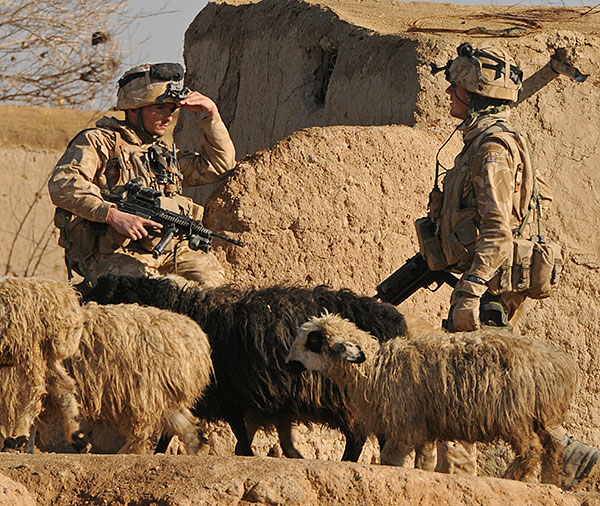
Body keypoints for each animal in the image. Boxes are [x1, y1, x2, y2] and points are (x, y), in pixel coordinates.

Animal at [288, 312, 580, 486]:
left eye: (313, 340)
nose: (289, 363)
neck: (376, 369)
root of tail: (557, 362)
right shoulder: (424, 427)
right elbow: (424, 462)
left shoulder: (406, 426)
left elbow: (391, 459)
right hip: (544, 413)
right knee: (554, 446)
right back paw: (550, 481)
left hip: (514, 413)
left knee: (532, 448)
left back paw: (511, 477)